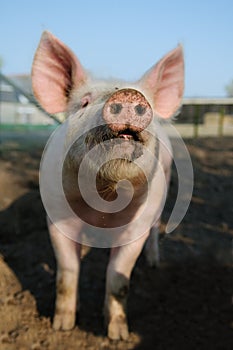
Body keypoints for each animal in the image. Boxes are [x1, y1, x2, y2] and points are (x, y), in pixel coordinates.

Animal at [31, 31, 184, 340]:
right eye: (84, 102)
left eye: (144, 101)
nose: (128, 94)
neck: (103, 201)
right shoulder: (55, 216)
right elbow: (67, 272)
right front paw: (62, 326)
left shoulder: (136, 227)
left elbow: (118, 278)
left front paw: (118, 335)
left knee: (155, 230)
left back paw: (153, 263)